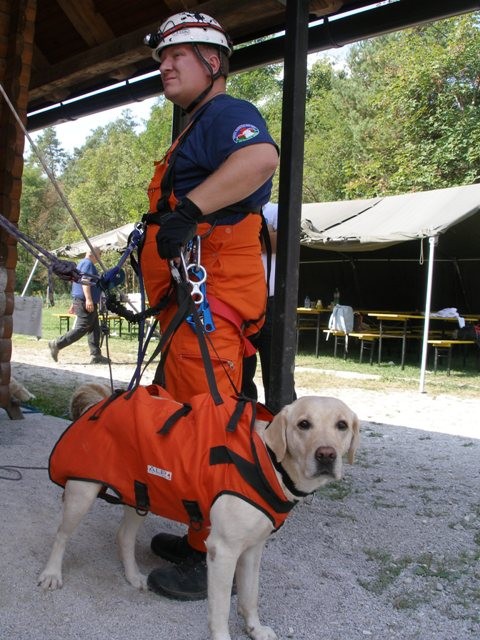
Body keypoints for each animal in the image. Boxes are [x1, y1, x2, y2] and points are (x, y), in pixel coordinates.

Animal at [39, 384, 358, 640]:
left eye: (342, 425)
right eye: (304, 424)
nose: (327, 455)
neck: (271, 463)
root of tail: (100, 402)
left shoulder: (252, 550)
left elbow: (250, 596)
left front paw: (254, 628)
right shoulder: (223, 552)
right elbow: (220, 609)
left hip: (140, 494)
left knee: (124, 537)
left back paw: (132, 576)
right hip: (82, 494)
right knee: (61, 536)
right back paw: (52, 573)